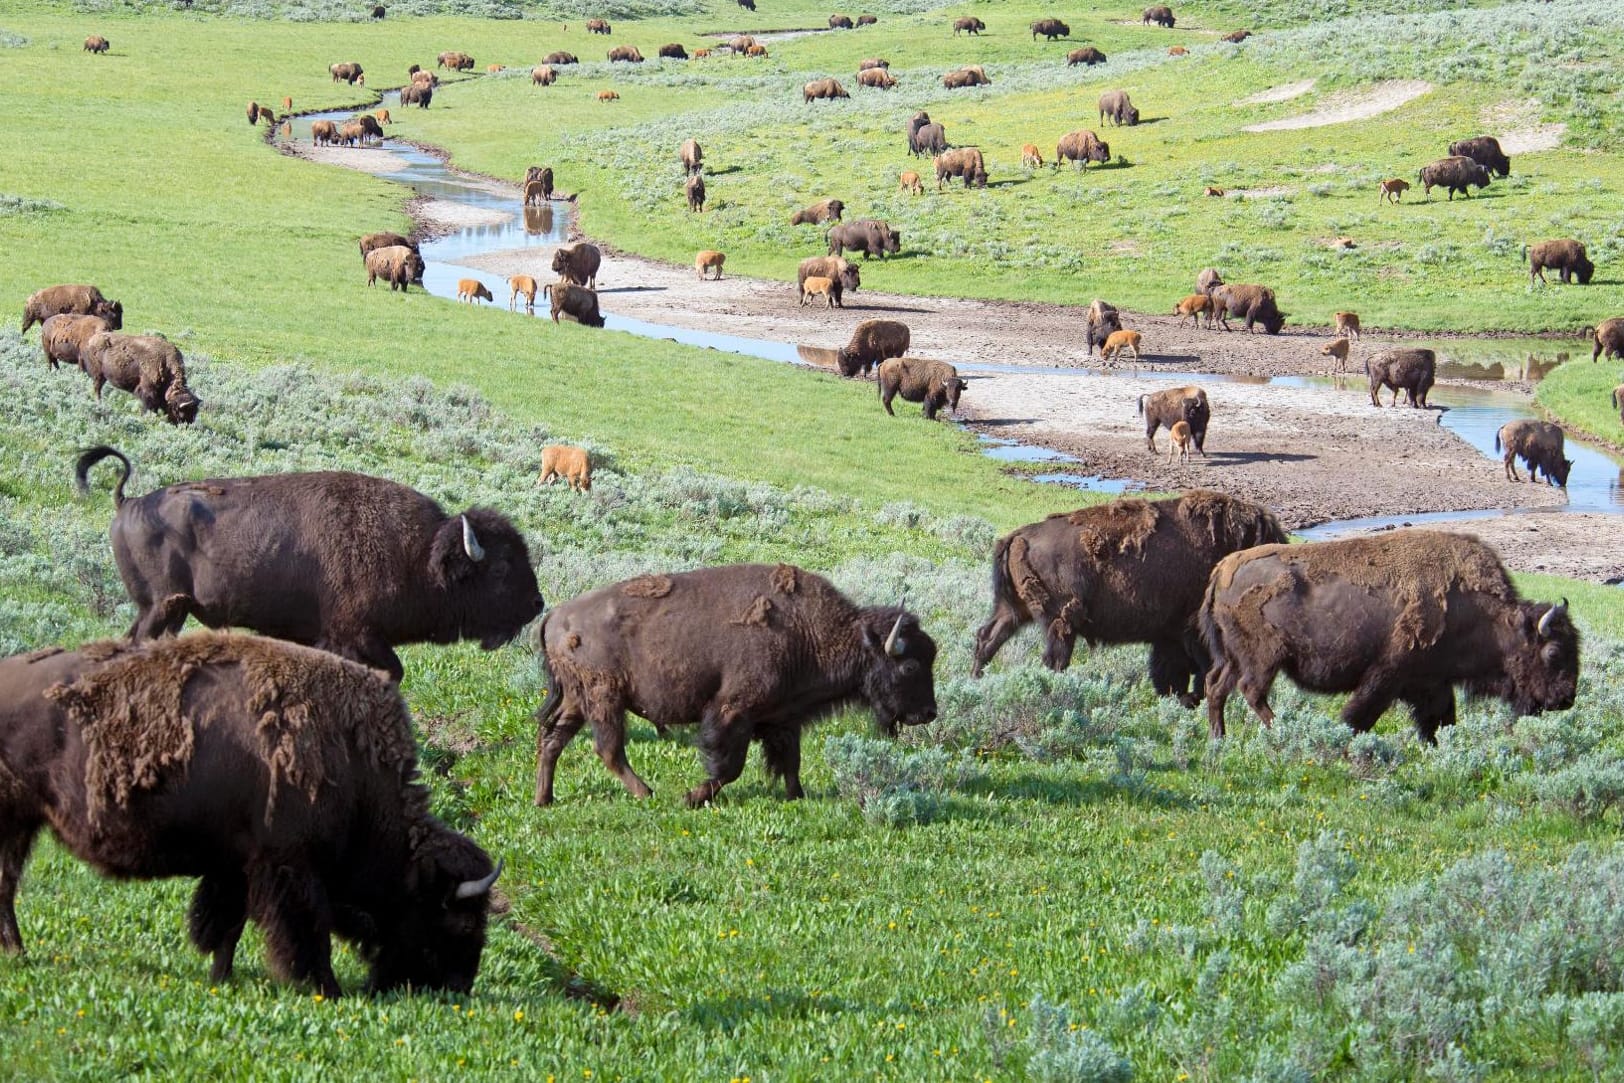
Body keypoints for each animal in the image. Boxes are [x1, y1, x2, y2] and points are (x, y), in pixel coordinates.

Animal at [0, 636, 500, 1000]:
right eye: (461, 922)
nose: (458, 989)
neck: (354, 766)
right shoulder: (290, 868)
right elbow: (307, 933)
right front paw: (327, 988)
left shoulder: (238, 867)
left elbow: (228, 927)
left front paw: (220, 978)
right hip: (15, 822)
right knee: (7, 887)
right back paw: (18, 953)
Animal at [76, 444, 542, 681]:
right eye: (501, 568)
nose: (536, 604)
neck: (419, 554)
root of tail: (129, 501)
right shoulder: (354, 635)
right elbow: (391, 672)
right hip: (163, 607)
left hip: (165, 611)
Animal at [535, 565, 941, 808]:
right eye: (909, 665)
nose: (929, 713)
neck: (812, 634)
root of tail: (555, 615)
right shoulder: (733, 713)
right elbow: (730, 767)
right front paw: (692, 797)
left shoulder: (784, 719)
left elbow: (790, 762)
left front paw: (797, 797)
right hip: (605, 698)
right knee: (607, 748)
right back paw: (647, 792)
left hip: (578, 700)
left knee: (553, 740)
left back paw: (544, 798)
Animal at [967, 490, 1286, 704]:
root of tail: (1018, 536)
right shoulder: (1190, 632)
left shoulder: (1170, 635)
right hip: (1060, 621)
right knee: (1053, 657)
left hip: (1012, 610)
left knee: (988, 638)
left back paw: (976, 680)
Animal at [1201, 529, 1578, 740]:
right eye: (1553, 652)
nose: (1565, 699)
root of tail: (1222, 569)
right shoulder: (1387, 676)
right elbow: (1360, 716)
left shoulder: (1433, 683)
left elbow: (1440, 721)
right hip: (1264, 658)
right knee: (1251, 691)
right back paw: (1280, 730)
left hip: (1235, 658)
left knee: (1216, 687)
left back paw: (1219, 739)